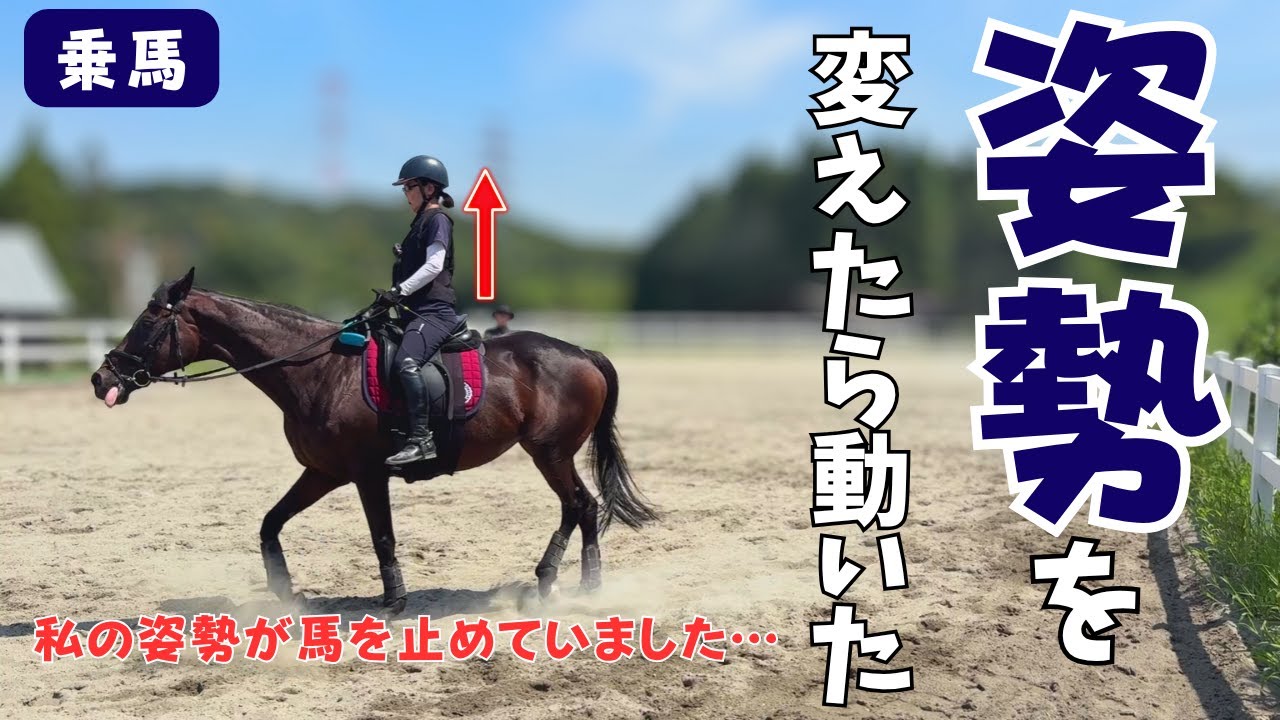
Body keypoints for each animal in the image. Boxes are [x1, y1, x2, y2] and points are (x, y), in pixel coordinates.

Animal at [89, 268, 658, 614]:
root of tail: (583, 352)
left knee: (580, 506)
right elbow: (271, 522)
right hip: (551, 455)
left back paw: (571, 583)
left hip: (551, 452)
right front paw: (283, 590)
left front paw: (395, 601)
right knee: (580, 506)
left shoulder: (366, 475)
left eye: (147, 323)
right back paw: (563, 581)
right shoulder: (323, 472)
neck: (319, 370)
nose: (101, 378)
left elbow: (381, 535)